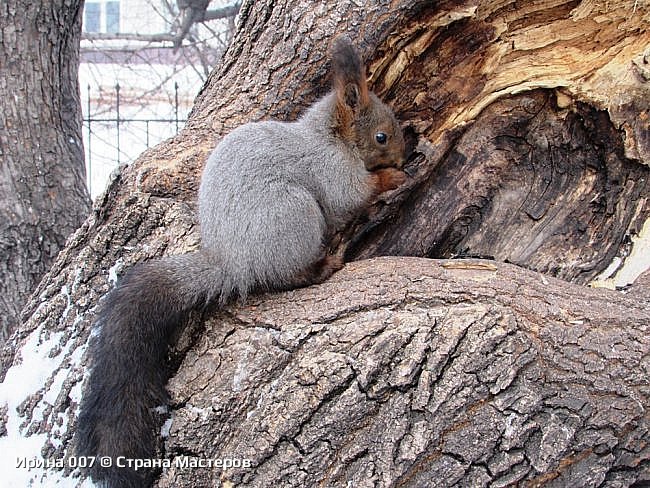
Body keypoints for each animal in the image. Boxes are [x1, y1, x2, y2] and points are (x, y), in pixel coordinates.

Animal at [74, 39, 404, 488]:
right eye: (381, 136)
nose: (403, 153)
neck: (331, 137)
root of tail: (231, 263)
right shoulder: (333, 172)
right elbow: (351, 196)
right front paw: (393, 178)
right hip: (296, 215)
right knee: (285, 276)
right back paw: (324, 265)